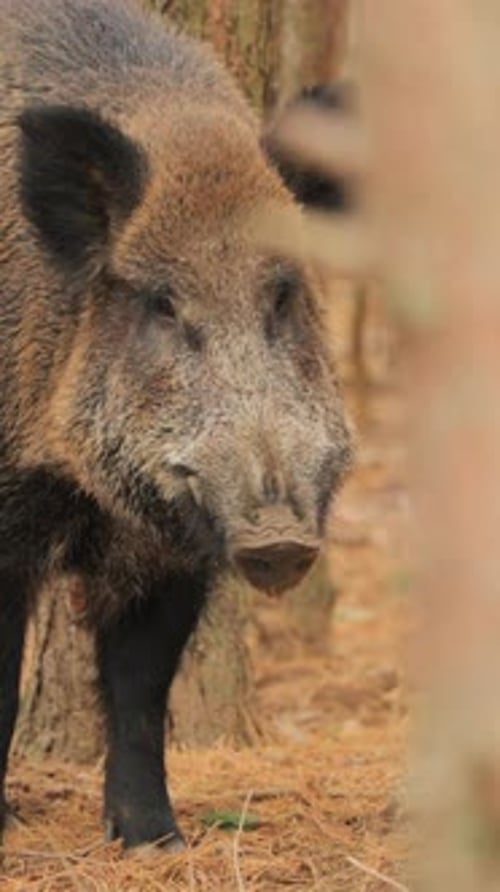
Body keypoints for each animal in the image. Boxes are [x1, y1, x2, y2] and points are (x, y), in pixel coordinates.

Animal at [0, 0, 353, 851]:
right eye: (162, 303)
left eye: (283, 295)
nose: (278, 537)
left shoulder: (171, 553)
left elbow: (140, 692)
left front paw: (154, 841)